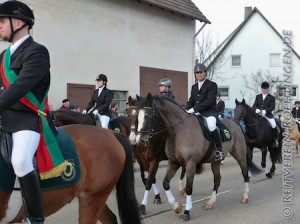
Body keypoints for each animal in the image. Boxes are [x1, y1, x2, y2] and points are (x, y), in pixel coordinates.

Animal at [135, 93, 262, 222]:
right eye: (137, 116)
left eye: (148, 115)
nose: (140, 140)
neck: (179, 130)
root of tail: (236, 124)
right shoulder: (173, 162)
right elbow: (165, 183)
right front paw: (176, 206)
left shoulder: (190, 163)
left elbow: (188, 188)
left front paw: (186, 212)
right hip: (215, 161)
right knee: (217, 179)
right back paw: (210, 202)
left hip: (240, 156)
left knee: (245, 174)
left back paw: (245, 197)